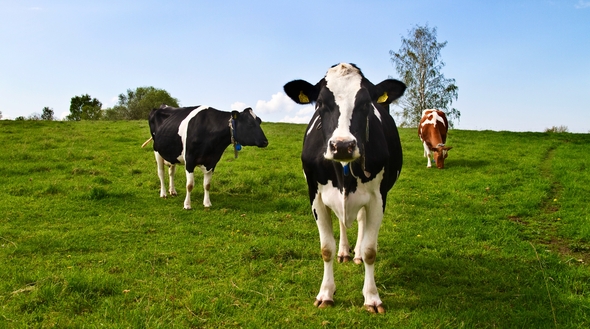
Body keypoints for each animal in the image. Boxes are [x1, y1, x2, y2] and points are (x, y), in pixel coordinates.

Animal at [286, 62, 408, 312]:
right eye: (320, 103)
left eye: (366, 103)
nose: (342, 145)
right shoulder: (315, 196)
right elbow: (326, 248)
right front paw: (325, 293)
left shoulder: (378, 198)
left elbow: (371, 250)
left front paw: (372, 297)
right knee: (342, 221)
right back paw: (344, 252)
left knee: (360, 222)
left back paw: (357, 254)